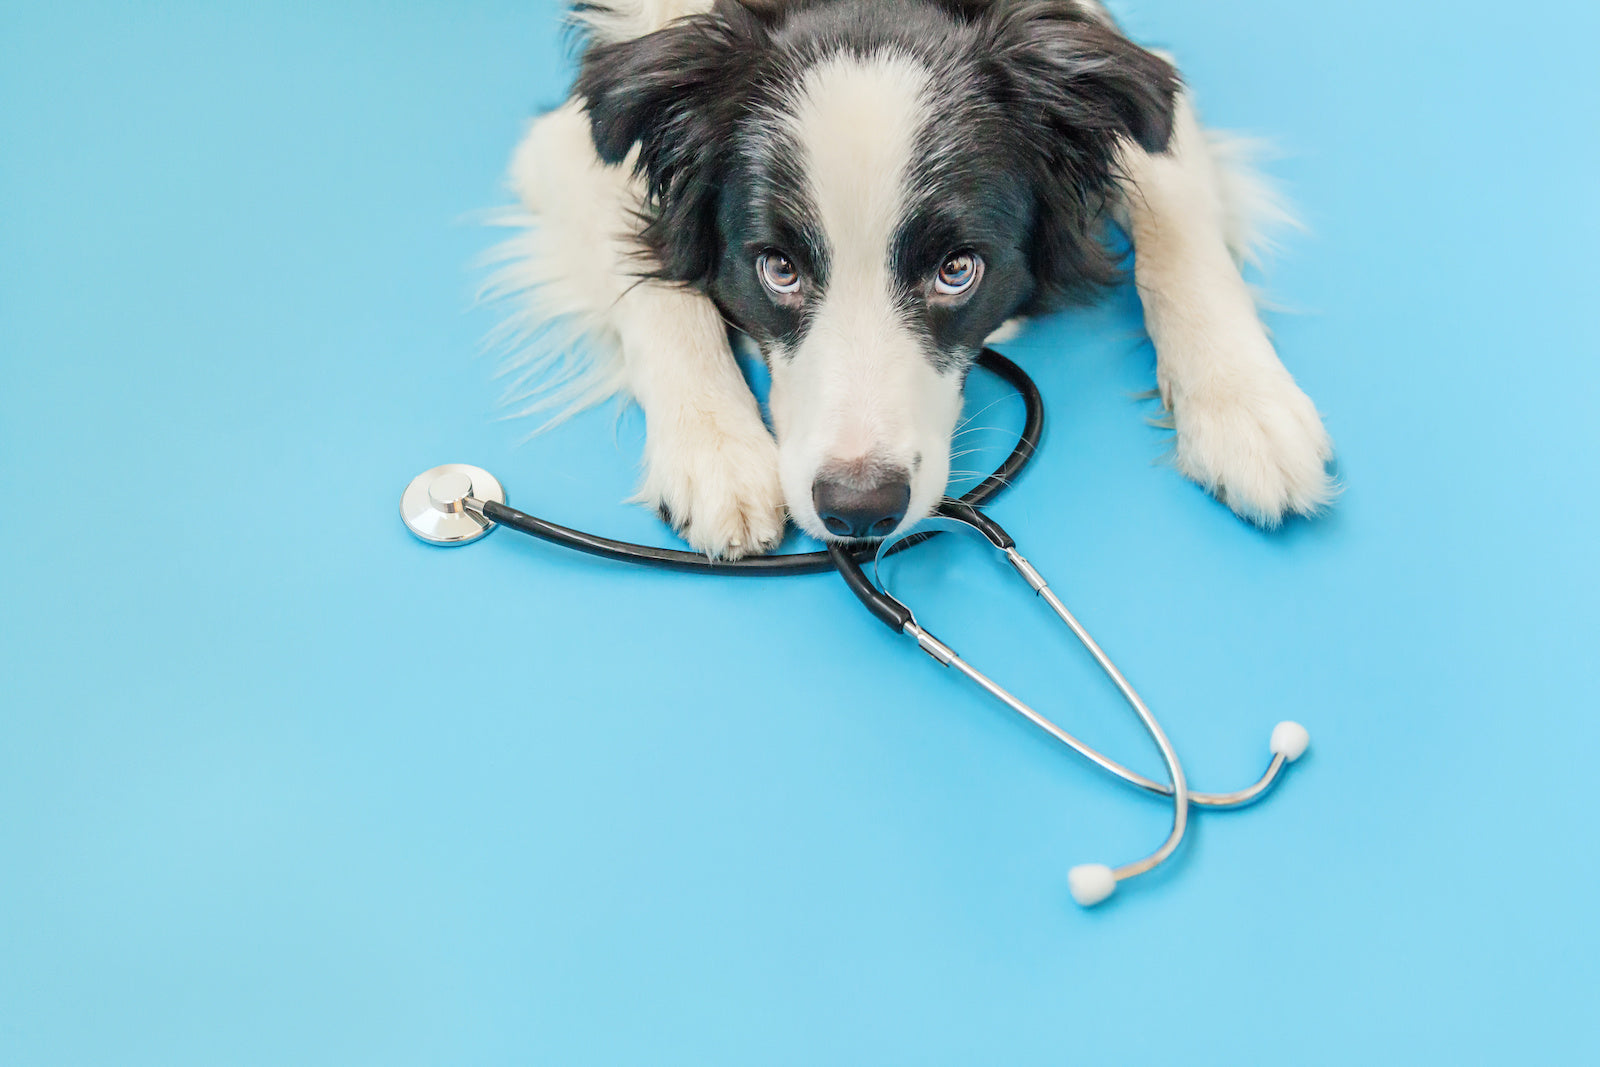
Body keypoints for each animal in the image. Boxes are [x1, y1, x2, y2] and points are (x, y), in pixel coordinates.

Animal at [492, 0, 1331, 563]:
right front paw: (715, 451)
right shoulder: (566, 137)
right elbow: (651, 278)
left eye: (957, 272)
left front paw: (1245, 410)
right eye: (778, 269)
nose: (859, 509)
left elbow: (1176, 219)